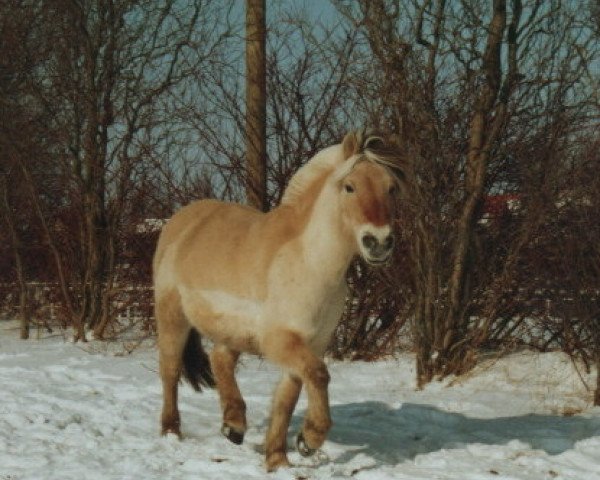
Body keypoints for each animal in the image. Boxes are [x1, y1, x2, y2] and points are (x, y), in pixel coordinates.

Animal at [155, 129, 408, 470]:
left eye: (391, 188)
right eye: (350, 186)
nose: (378, 242)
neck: (308, 261)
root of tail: (181, 220)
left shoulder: (308, 344)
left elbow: (288, 399)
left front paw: (278, 460)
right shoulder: (281, 341)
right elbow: (319, 375)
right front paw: (309, 440)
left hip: (234, 331)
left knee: (220, 359)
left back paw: (234, 426)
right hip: (172, 318)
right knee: (170, 370)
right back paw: (171, 431)